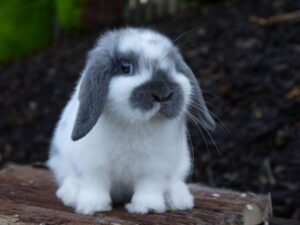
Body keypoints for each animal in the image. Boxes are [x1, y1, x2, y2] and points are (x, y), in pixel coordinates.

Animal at [47, 27, 216, 215]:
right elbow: (95, 185)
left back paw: (179, 199)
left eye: (173, 66)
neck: (136, 124)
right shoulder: (93, 166)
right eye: (125, 67)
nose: (163, 94)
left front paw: (147, 207)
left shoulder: (154, 168)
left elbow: (149, 187)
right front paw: (93, 207)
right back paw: (69, 194)